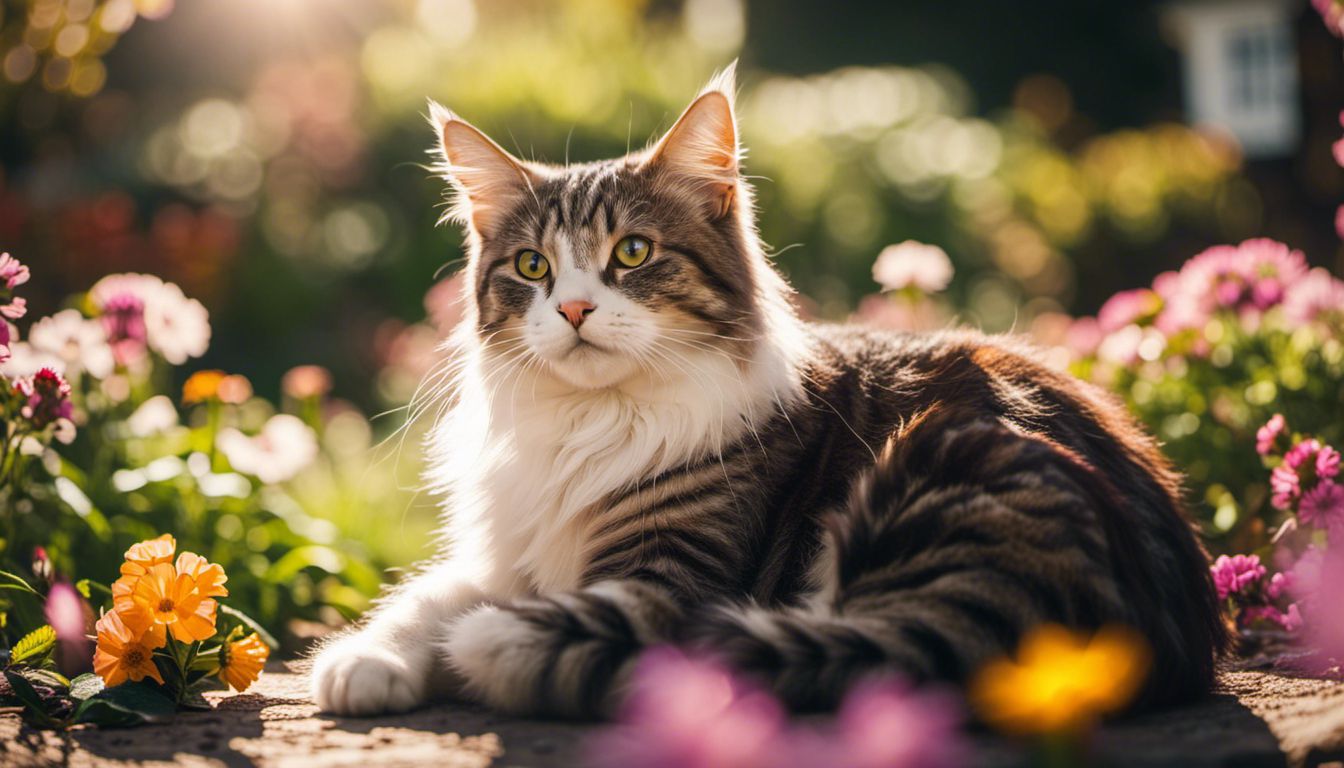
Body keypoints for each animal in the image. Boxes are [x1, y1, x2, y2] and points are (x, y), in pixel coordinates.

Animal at [307, 66, 1231, 720]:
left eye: (632, 253)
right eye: (532, 267)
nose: (571, 309)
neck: (592, 420)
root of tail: (1168, 622)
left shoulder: (667, 575)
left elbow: (496, 615)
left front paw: (446, 654)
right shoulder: (509, 553)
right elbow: (424, 599)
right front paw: (365, 661)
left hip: (942, 465)